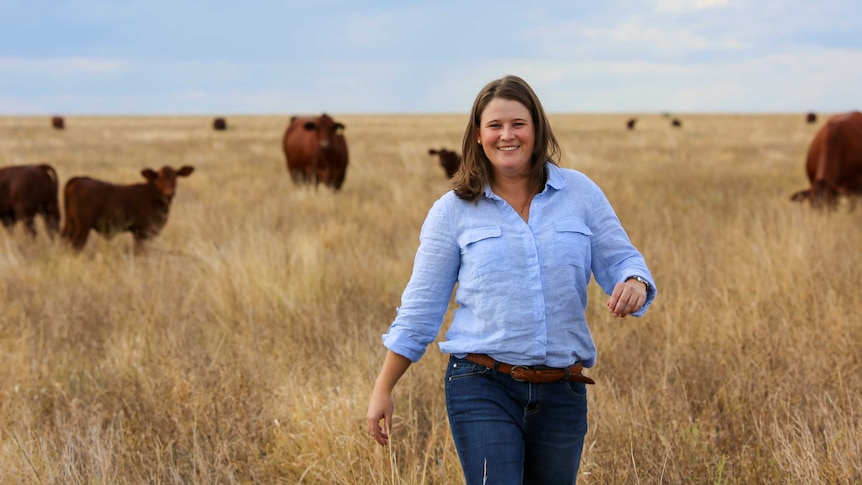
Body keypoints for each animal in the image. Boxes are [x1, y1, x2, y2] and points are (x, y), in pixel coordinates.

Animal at [61, 165, 195, 251]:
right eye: (158, 177)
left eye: (175, 176)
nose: (169, 192)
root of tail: (79, 178)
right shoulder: (141, 231)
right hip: (82, 227)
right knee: (76, 245)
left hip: (71, 224)